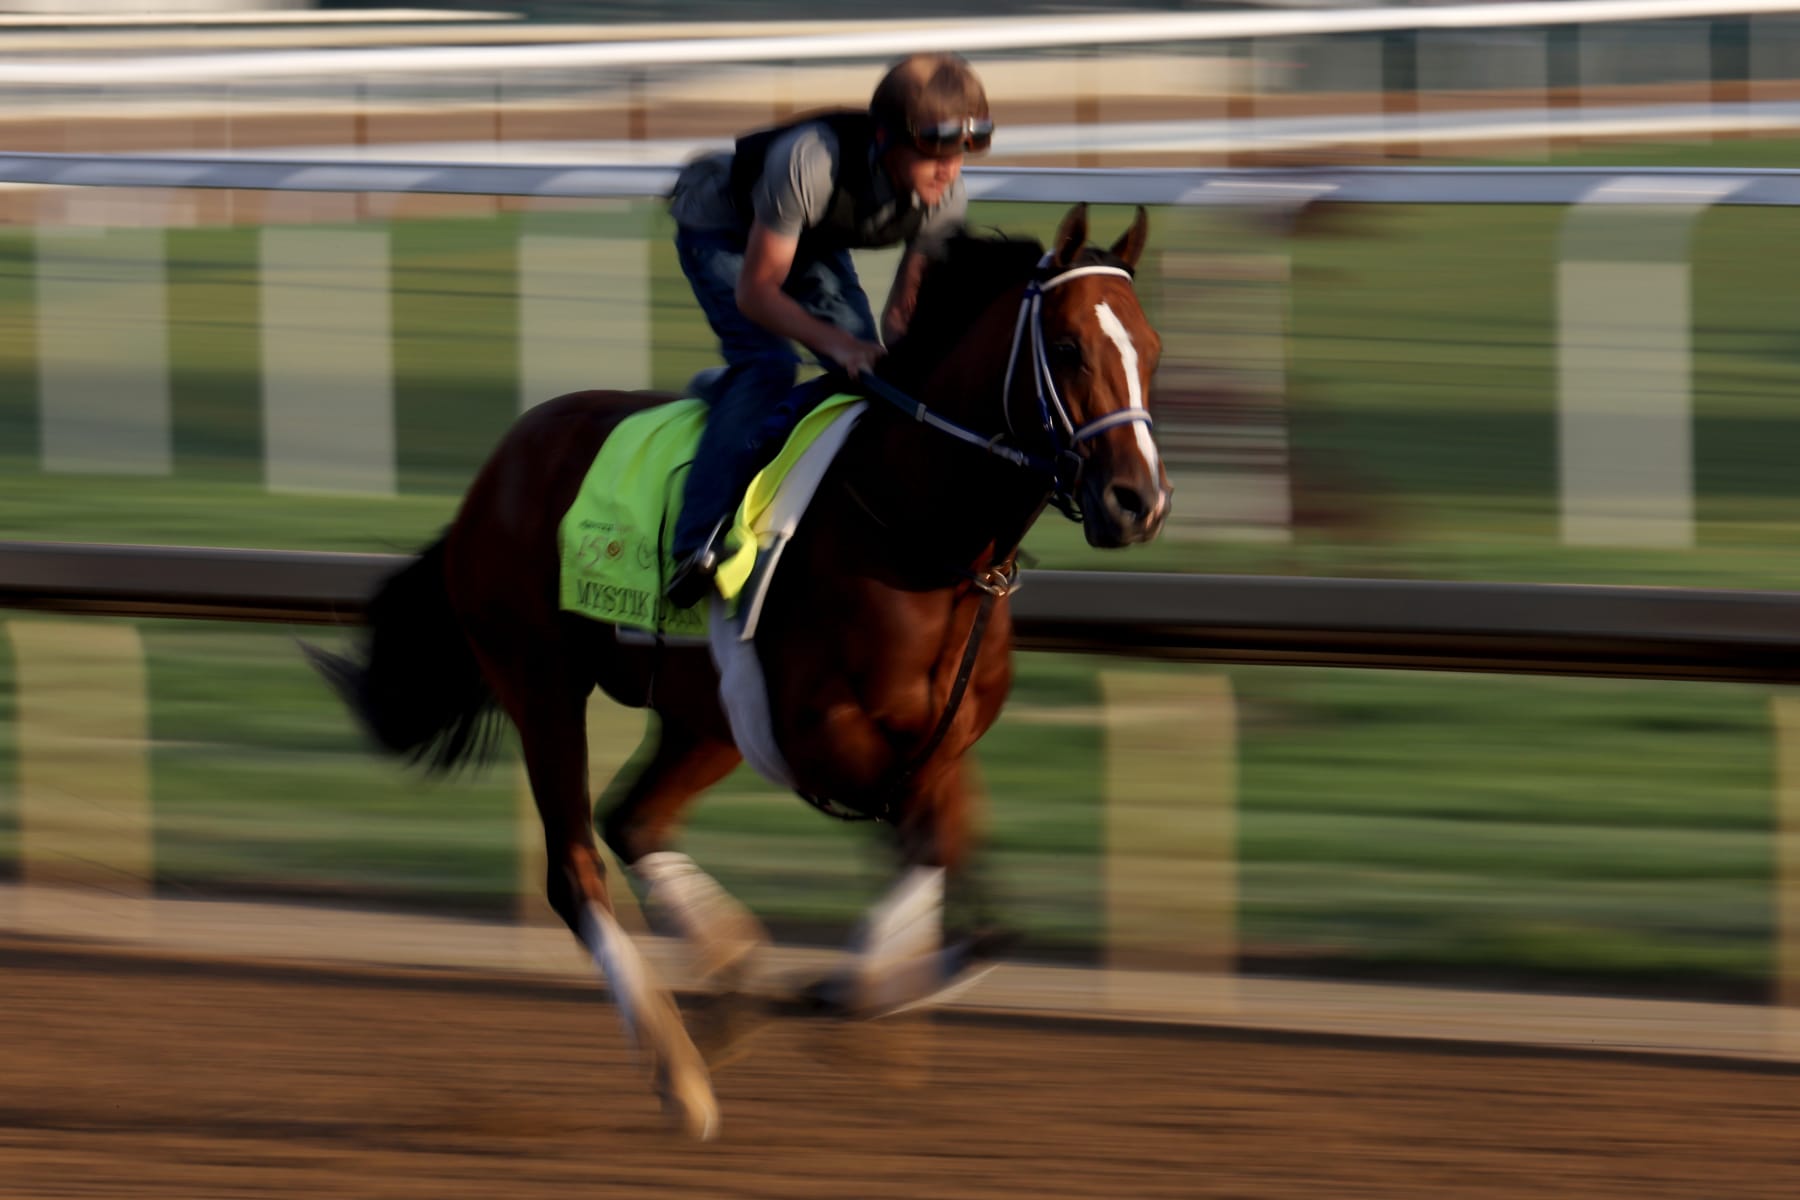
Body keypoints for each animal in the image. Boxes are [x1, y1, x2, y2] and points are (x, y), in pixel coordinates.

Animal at [307, 203, 1171, 1140]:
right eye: (1068, 346)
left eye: (1152, 347)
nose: (1138, 501)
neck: (916, 535)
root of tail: (496, 466)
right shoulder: (822, 738)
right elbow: (925, 852)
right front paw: (838, 992)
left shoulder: (939, 744)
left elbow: (975, 900)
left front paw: (848, 997)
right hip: (541, 682)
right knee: (576, 868)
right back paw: (682, 1070)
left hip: (704, 718)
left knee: (635, 822)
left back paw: (730, 981)